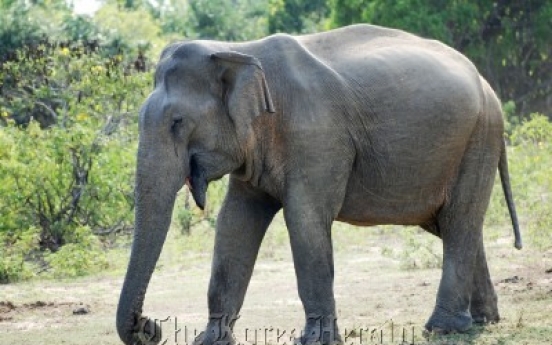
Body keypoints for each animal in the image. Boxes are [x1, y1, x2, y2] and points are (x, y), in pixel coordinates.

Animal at [116, 24, 520, 344]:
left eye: (177, 122)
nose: (151, 327)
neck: (238, 49)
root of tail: (487, 85)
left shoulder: (315, 136)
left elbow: (304, 219)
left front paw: (313, 341)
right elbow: (234, 223)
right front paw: (209, 341)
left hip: (478, 138)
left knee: (459, 220)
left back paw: (443, 328)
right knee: (452, 224)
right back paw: (483, 320)